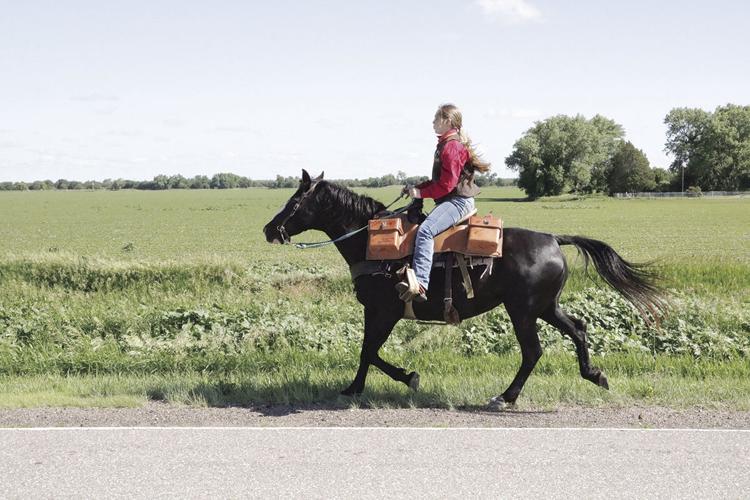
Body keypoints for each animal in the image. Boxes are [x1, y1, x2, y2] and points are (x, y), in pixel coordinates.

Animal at [263, 170, 665, 408]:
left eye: (294, 201)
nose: (269, 229)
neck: (371, 241)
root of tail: (553, 238)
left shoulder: (386, 310)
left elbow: (371, 351)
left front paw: (406, 378)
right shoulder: (374, 311)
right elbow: (366, 352)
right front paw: (357, 387)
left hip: (523, 311)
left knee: (532, 351)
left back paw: (506, 397)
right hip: (545, 307)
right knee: (578, 330)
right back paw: (594, 374)